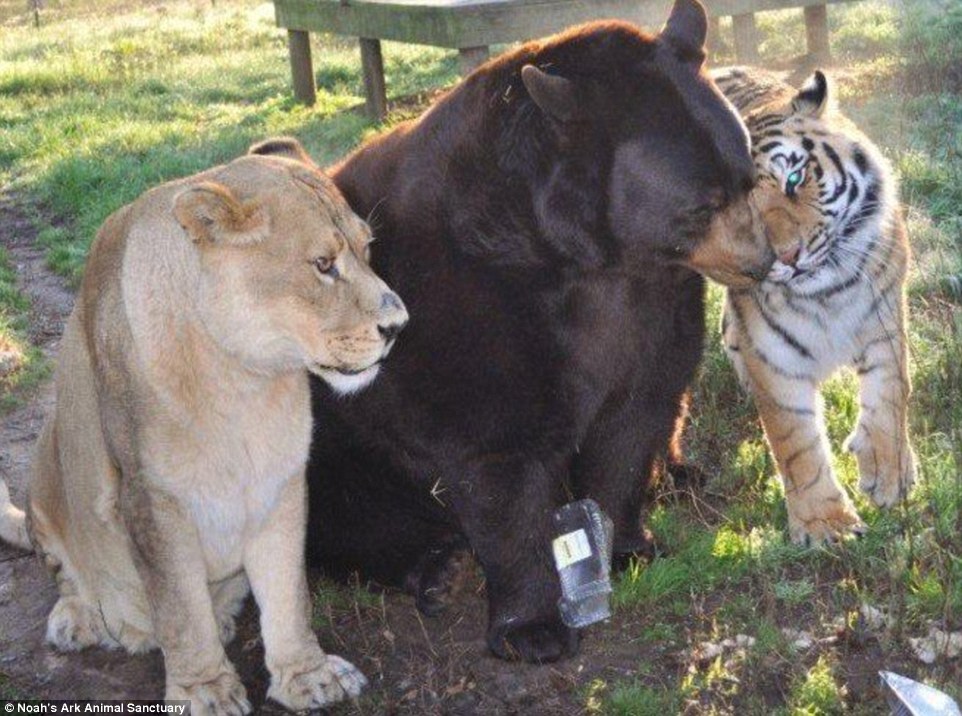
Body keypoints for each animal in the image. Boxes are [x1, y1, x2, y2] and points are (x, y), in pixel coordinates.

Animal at [712, 67, 916, 544]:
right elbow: (797, 442)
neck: (827, 294)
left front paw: (889, 474)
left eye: (793, 179)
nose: (787, 257)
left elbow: (890, 394)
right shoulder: (774, 359)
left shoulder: (884, 317)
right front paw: (826, 525)